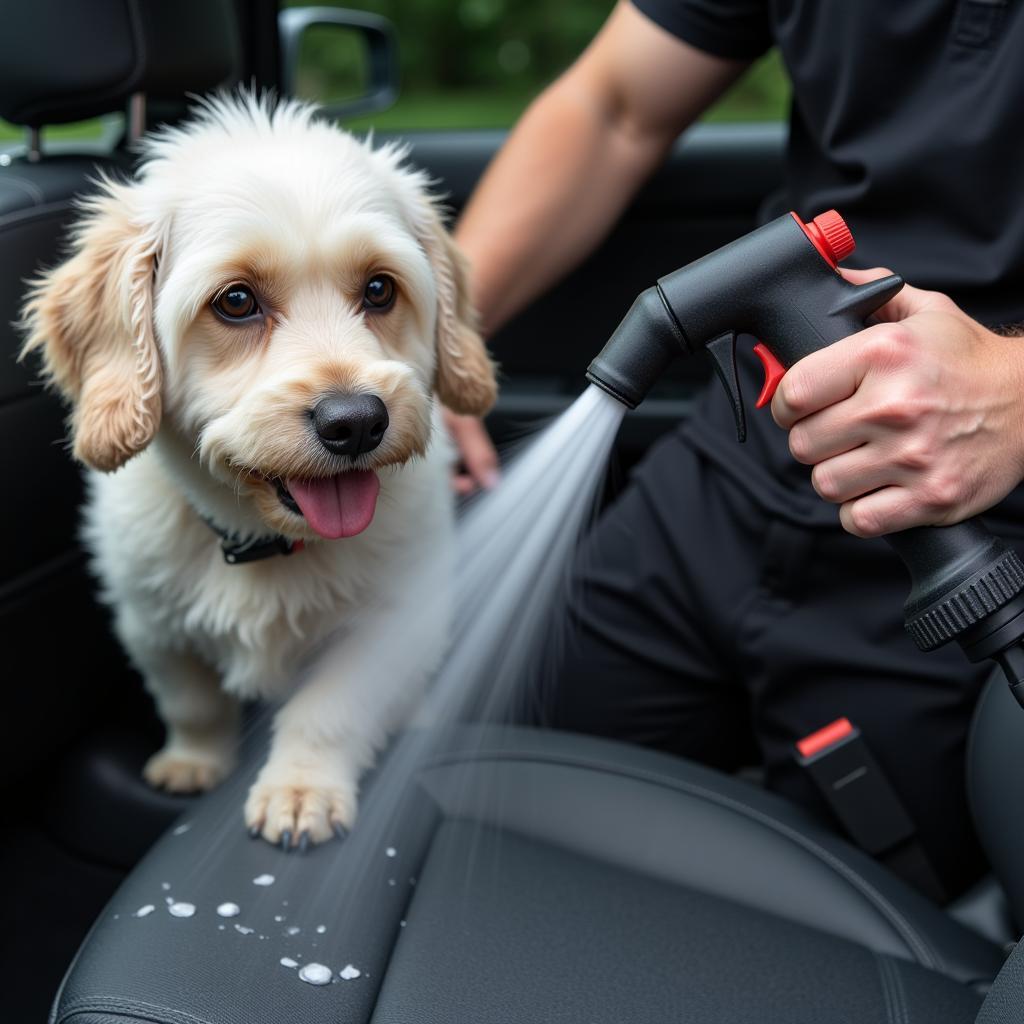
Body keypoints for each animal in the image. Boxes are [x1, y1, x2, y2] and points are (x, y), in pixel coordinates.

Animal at [17, 94, 495, 847]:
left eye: (380, 289)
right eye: (236, 301)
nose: (356, 422)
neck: (267, 542)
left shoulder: (392, 623)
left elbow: (328, 710)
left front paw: (300, 789)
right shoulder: (149, 623)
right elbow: (192, 702)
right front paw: (193, 761)